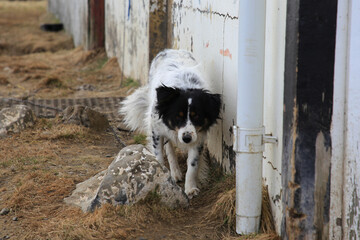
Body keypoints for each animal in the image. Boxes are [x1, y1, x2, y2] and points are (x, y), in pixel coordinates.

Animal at [121, 49, 221, 199]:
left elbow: (193, 165)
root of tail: (171, 50)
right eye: (178, 116)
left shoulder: (198, 136)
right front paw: (161, 178)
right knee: (169, 149)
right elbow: (159, 157)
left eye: (197, 116)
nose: (186, 138)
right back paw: (174, 172)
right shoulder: (156, 130)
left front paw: (190, 188)